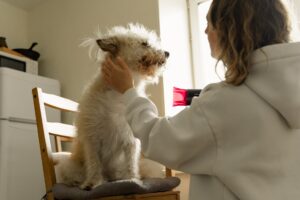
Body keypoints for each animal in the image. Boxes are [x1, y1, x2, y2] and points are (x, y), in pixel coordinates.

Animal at [55, 23, 170, 189]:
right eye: (145, 43)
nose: (167, 53)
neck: (118, 94)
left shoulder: (130, 140)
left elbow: (131, 163)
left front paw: (132, 178)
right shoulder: (92, 138)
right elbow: (94, 163)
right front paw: (93, 182)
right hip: (69, 166)